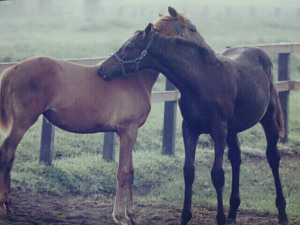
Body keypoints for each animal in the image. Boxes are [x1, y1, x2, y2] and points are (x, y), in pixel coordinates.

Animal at [0, 7, 204, 225]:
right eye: (192, 29)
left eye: (129, 45)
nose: (204, 49)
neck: (134, 77)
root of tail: (15, 68)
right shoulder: (128, 131)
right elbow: (122, 172)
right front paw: (120, 216)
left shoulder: (126, 133)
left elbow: (130, 172)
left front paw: (132, 215)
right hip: (22, 123)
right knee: (6, 154)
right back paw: (5, 206)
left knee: (10, 156)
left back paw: (9, 205)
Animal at [97, 23, 290, 225]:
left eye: (129, 46)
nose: (101, 69)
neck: (200, 81)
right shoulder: (189, 129)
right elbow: (188, 171)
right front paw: (185, 217)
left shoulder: (218, 130)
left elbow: (217, 174)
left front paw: (220, 218)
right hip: (232, 129)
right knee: (236, 158)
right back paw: (232, 213)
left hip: (267, 119)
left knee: (272, 157)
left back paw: (282, 213)